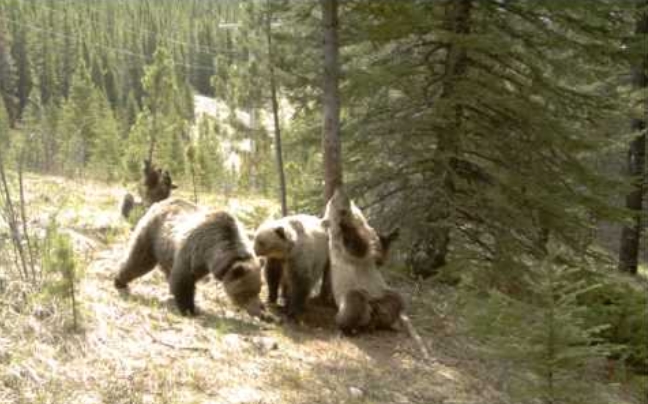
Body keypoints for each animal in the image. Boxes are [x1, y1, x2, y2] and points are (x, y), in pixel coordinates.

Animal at [114, 197, 264, 318]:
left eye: (258, 289)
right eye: (246, 293)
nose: (260, 311)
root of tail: (158, 203)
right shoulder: (195, 251)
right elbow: (183, 279)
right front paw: (189, 310)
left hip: (166, 249)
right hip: (151, 235)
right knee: (139, 260)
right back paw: (119, 281)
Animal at [322, 189, 402, 334]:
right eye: (331, 201)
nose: (339, 191)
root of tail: (372, 307)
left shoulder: (371, 234)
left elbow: (379, 259)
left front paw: (390, 235)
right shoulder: (341, 245)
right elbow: (357, 248)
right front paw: (344, 223)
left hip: (380, 291)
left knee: (396, 298)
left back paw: (384, 318)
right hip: (349, 293)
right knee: (353, 301)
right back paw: (347, 327)